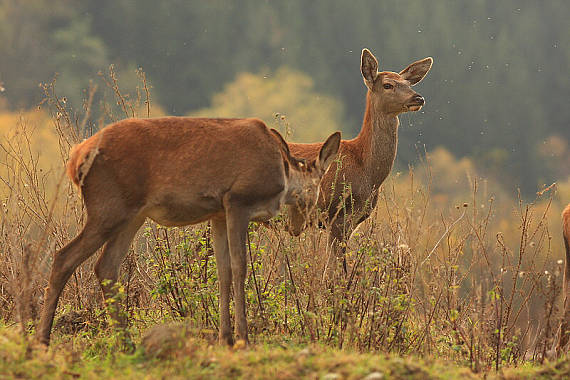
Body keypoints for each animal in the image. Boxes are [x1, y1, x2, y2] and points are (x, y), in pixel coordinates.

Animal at [37, 117, 340, 346]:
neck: (283, 178)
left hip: (132, 214)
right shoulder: (237, 201)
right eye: (318, 185)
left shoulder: (218, 213)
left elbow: (223, 271)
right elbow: (240, 266)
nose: (300, 227)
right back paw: (43, 340)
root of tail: (76, 159)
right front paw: (243, 338)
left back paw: (126, 342)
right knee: (64, 257)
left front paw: (225, 337)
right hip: (108, 207)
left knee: (105, 266)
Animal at [284, 48, 430, 274]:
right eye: (388, 84)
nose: (418, 98)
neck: (366, 170)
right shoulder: (335, 213)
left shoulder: (354, 220)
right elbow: (336, 270)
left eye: (409, 83)